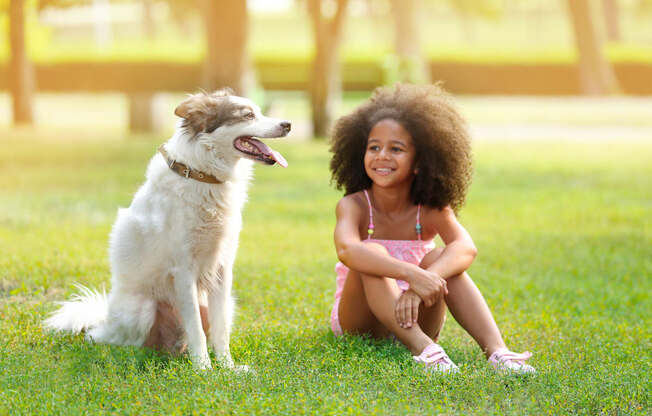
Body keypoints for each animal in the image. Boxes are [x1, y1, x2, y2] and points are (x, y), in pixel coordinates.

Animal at [45, 89, 290, 368]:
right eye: (248, 115)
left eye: (259, 111)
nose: (288, 125)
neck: (203, 175)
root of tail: (105, 321)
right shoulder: (183, 270)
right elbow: (196, 329)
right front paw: (204, 369)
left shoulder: (221, 270)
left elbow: (219, 330)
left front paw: (227, 367)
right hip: (141, 309)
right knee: (117, 341)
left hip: (228, 303)